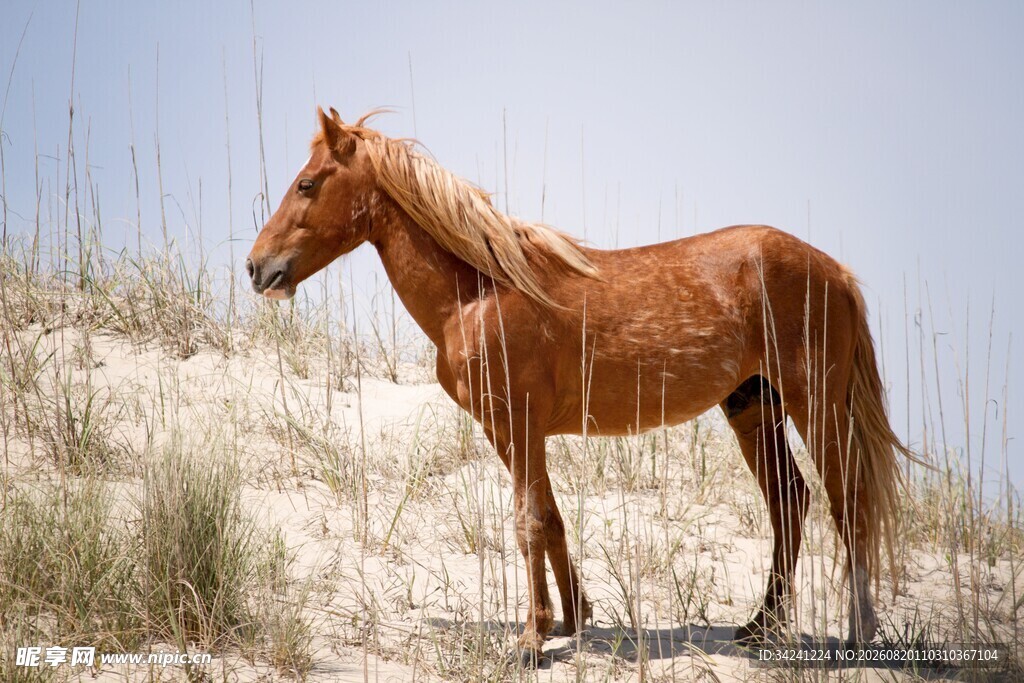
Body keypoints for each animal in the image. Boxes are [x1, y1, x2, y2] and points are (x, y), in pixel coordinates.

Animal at [247, 107, 912, 664]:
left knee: (847, 501)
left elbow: (528, 524)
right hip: (753, 408)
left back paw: (858, 633)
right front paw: (571, 619)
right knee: (789, 501)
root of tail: (836, 272)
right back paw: (759, 626)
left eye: (307, 184)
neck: (479, 292)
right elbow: (550, 518)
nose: (258, 268)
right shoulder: (513, 432)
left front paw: (532, 637)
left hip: (814, 406)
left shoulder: (520, 425)